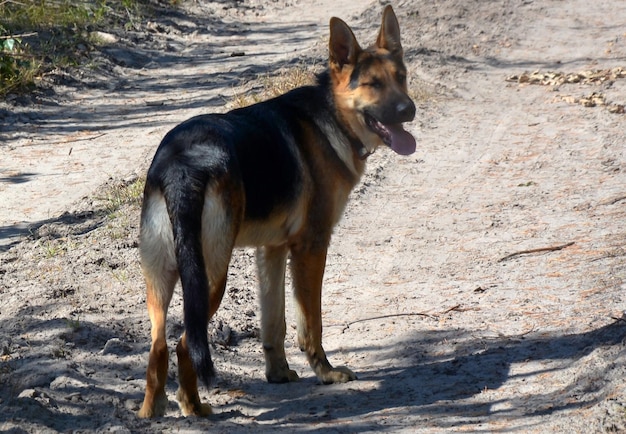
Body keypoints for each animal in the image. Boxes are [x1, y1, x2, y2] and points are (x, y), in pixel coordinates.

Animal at [136, 4, 414, 418]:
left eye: (402, 78)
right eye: (373, 85)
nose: (408, 109)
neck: (333, 117)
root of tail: (181, 163)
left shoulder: (271, 250)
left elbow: (274, 323)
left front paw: (278, 373)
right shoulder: (311, 248)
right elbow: (310, 323)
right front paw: (326, 373)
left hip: (162, 279)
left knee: (158, 345)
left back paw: (152, 410)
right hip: (211, 278)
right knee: (186, 342)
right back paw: (194, 407)